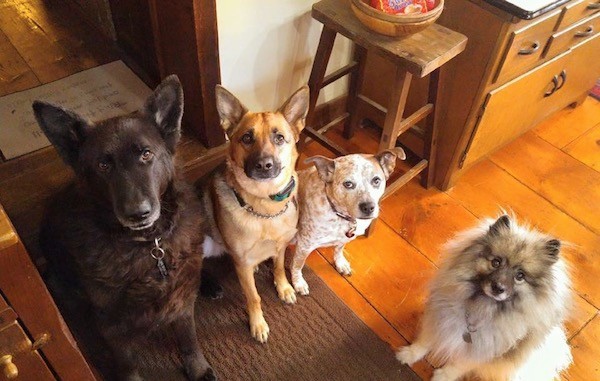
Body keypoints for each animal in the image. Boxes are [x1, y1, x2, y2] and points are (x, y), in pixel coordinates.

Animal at [34, 75, 216, 378]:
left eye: (146, 154)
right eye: (103, 165)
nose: (138, 213)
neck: (150, 246)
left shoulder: (181, 299)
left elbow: (188, 336)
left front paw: (198, 368)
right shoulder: (112, 328)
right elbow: (128, 365)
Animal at [199, 84, 310, 342]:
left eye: (279, 138)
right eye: (247, 138)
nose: (264, 165)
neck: (264, 208)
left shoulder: (280, 246)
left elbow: (279, 268)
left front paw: (284, 287)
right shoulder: (241, 263)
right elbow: (253, 297)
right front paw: (257, 323)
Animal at [290, 148, 404, 294]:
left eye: (376, 180)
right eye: (348, 184)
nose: (368, 207)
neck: (341, 217)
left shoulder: (346, 237)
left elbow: (339, 249)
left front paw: (341, 264)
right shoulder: (305, 245)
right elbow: (297, 265)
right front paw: (298, 283)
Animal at [398, 215, 572, 378]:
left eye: (520, 276)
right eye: (496, 262)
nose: (498, 288)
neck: (480, 308)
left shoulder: (481, 351)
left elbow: (457, 365)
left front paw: (443, 376)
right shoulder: (438, 321)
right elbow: (424, 342)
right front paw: (408, 355)